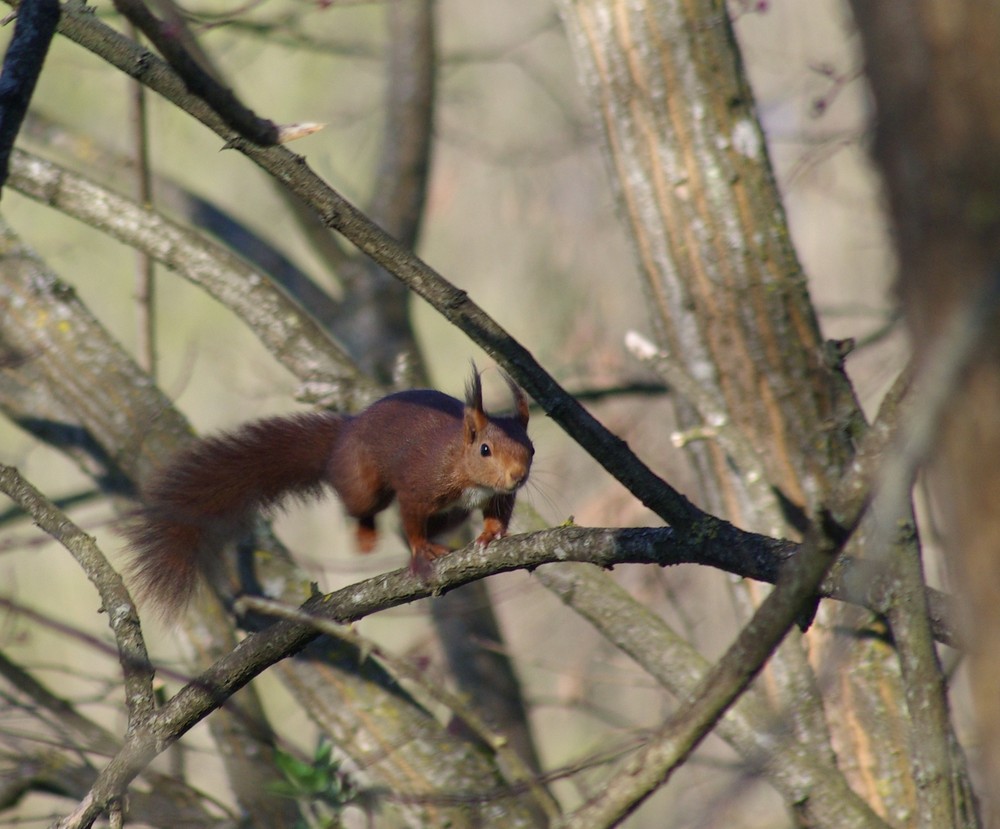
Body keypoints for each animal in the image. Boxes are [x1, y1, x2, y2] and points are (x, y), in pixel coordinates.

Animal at [125, 368, 536, 616]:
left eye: (530, 448)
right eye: (485, 450)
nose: (517, 476)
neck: (466, 471)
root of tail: (343, 436)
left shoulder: (497, 495)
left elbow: (497, 512)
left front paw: (491, 534)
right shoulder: (419, 483)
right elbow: (411, 519)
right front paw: (421, 553)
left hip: (450, 512)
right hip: (364, 483)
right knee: (359, 507)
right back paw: (367, 537)